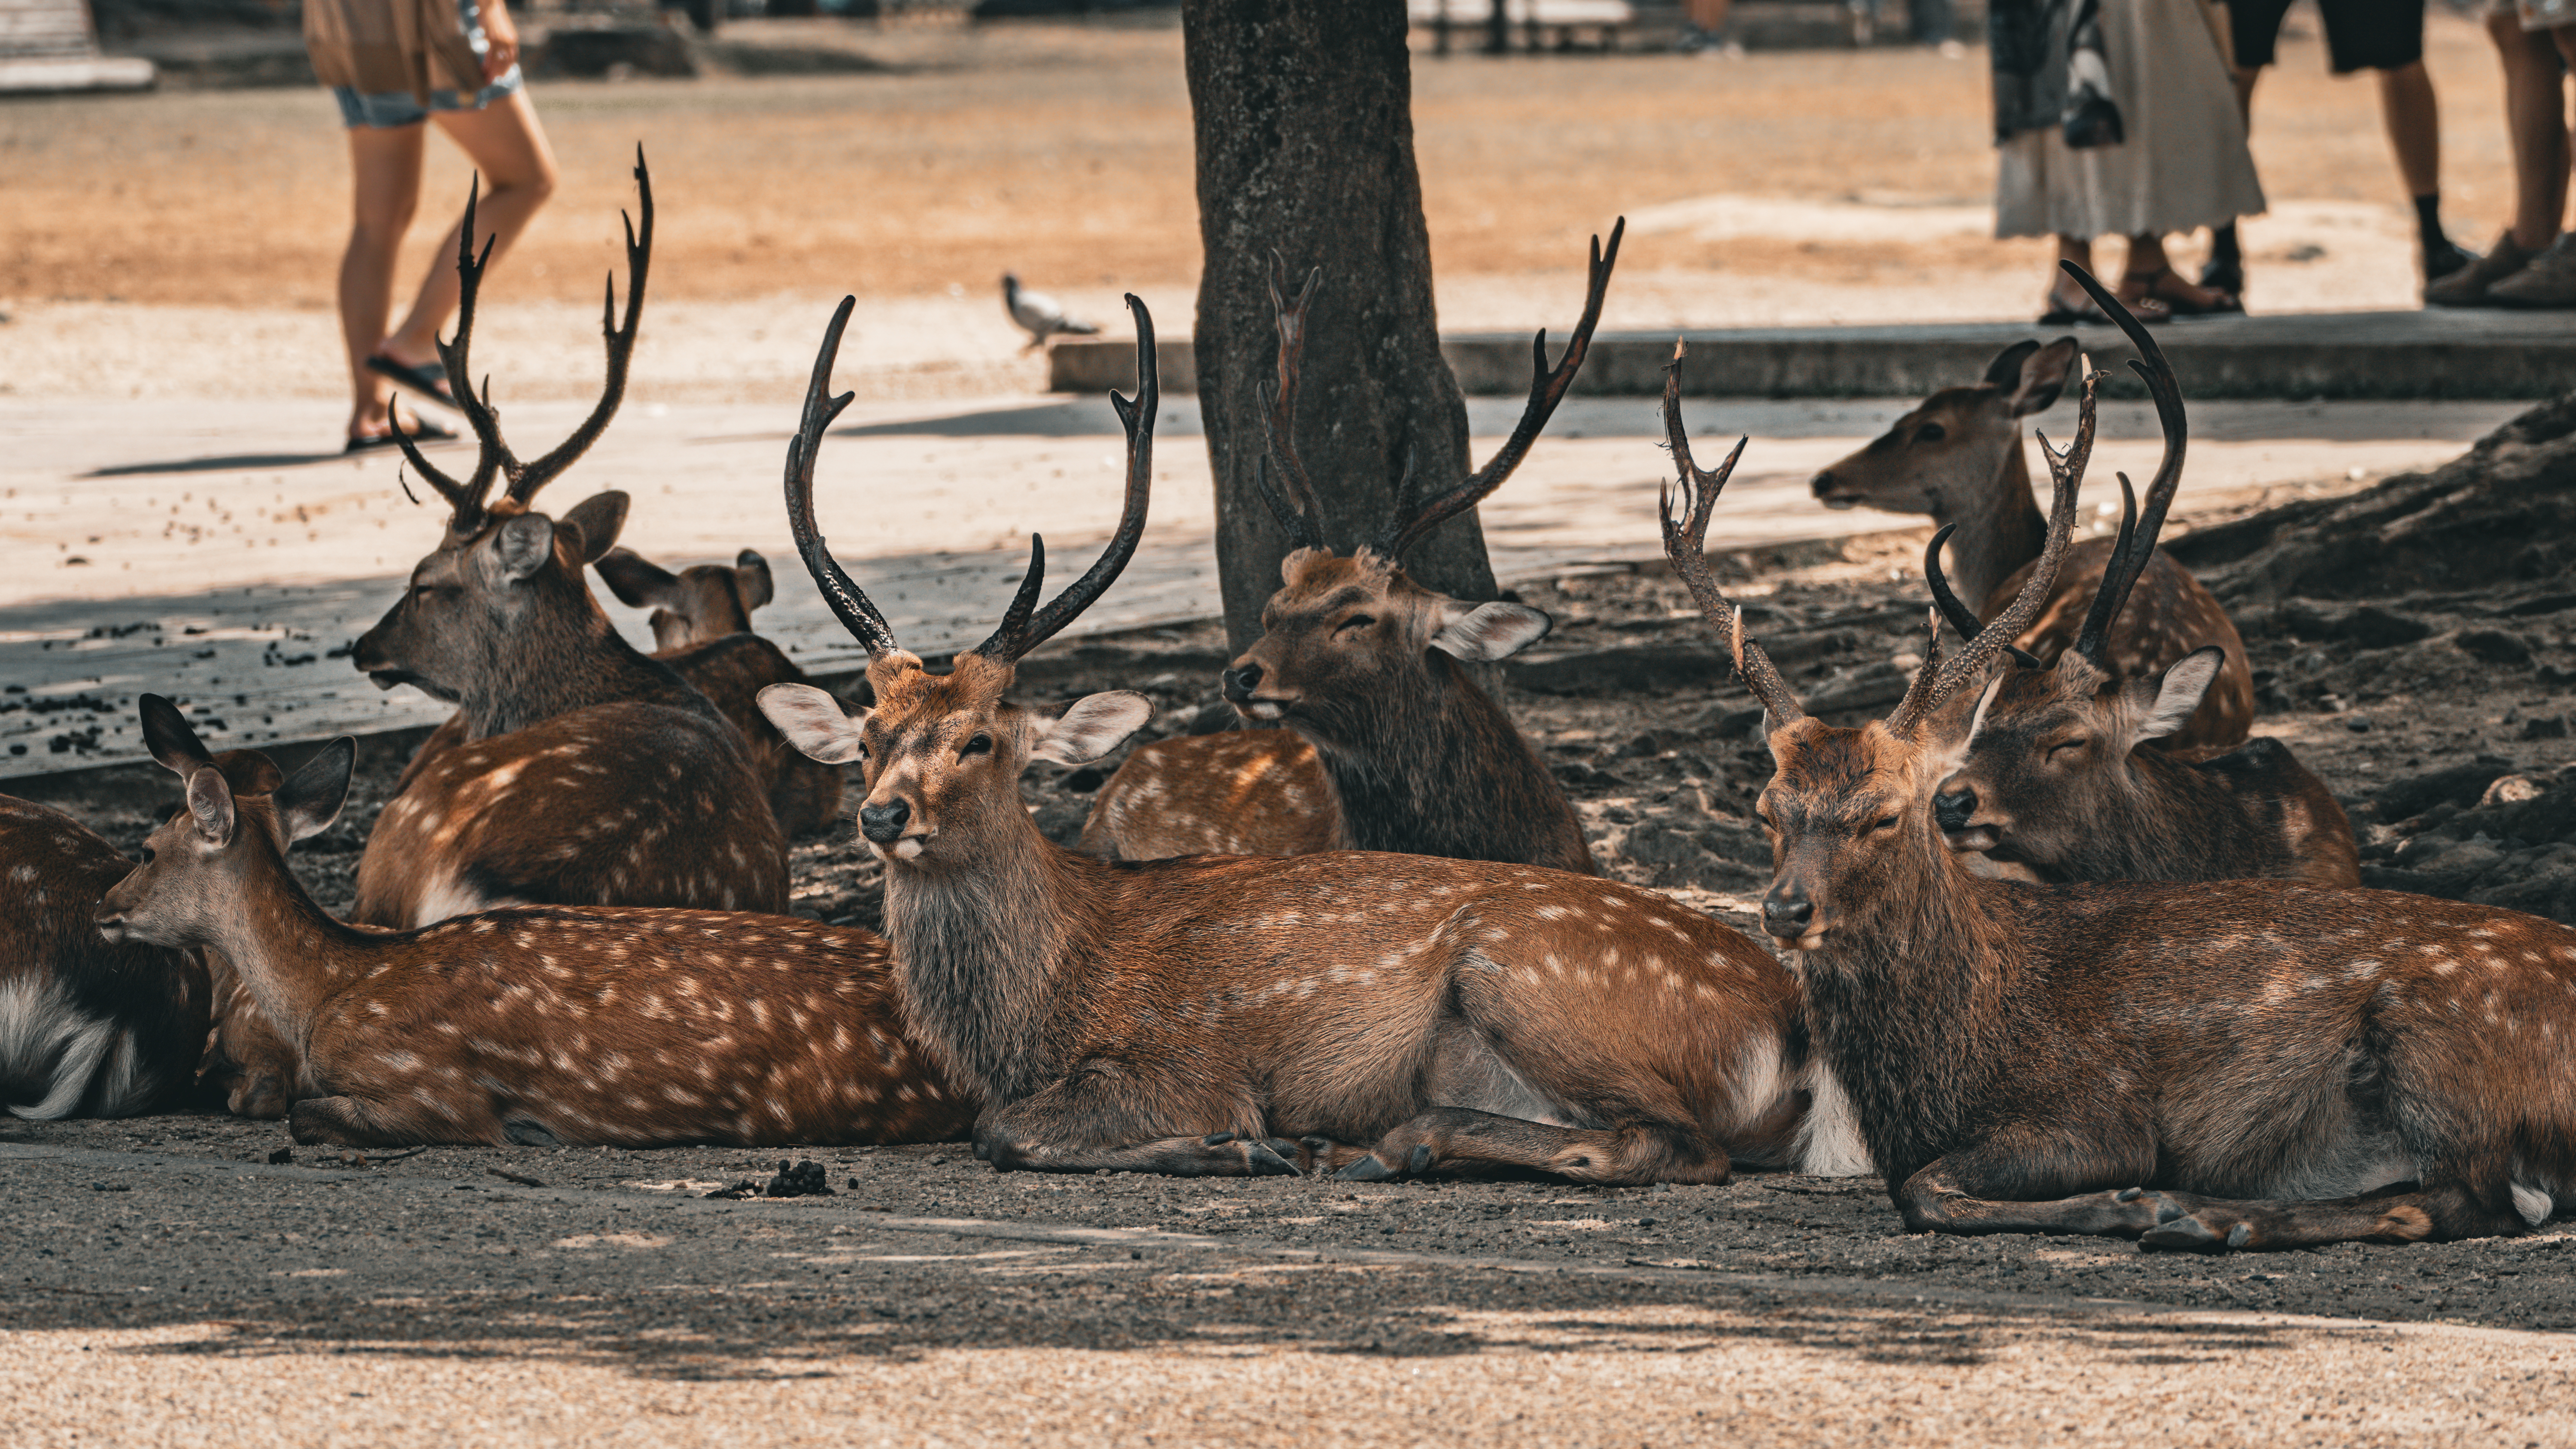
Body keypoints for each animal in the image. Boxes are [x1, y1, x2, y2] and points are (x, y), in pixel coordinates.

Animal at [753, 293, 1868, 1184]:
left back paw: (1381, 1142)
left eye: (982, 740)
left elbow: (1005, 1130)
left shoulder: (1182, 1057)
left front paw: (1242, 1142)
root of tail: (1791, 1024)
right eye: (867, 732)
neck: (1048, 998)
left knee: (1672, 1145)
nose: (882, 814)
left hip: (1534, 978)